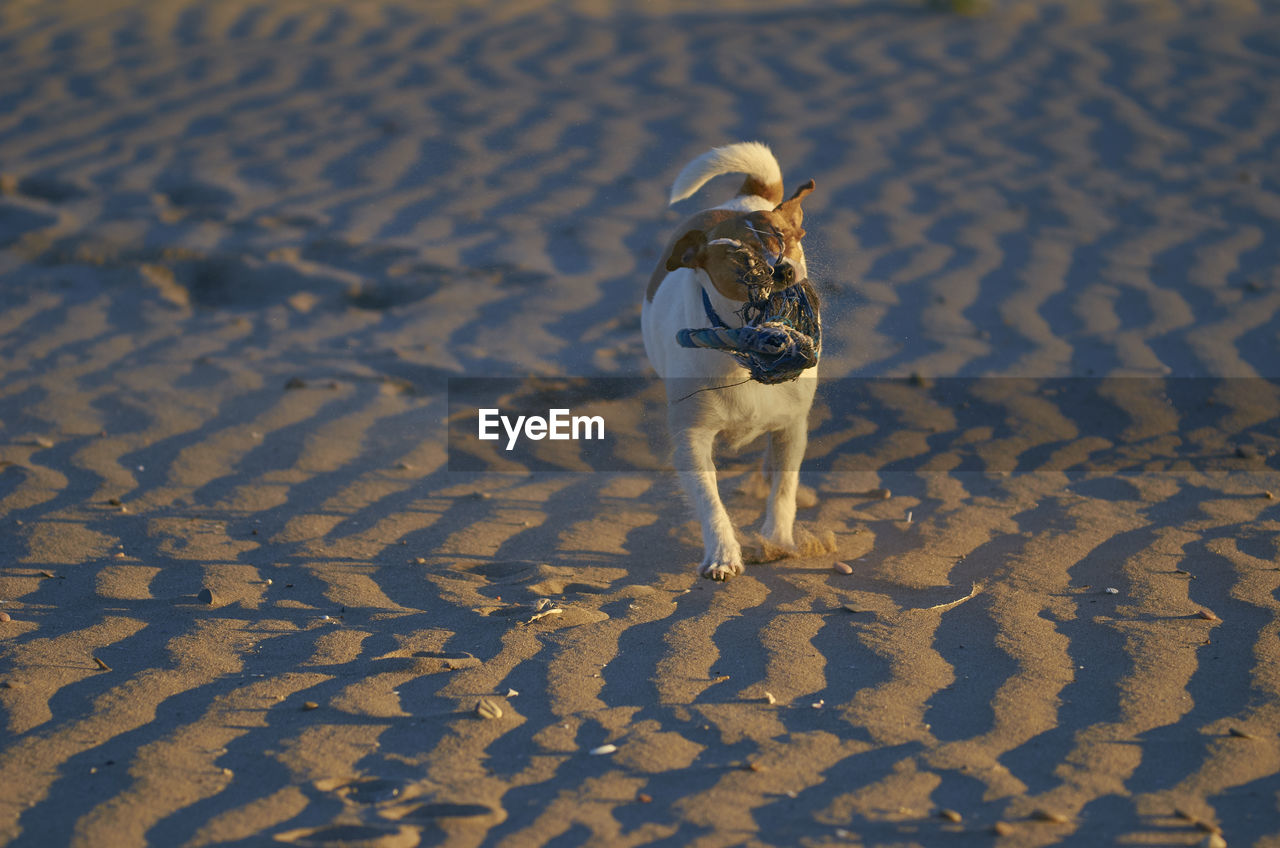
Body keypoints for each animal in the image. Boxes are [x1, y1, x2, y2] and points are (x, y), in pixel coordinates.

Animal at [640, 142, 819, 581]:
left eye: (784, 239)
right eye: (740, 258)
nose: (782, 270)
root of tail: (742, 196)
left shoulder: (791, 427)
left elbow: (784, 490)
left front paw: (777, 540)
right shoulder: (691, 438)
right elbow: (710, 500)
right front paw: (723, 553)